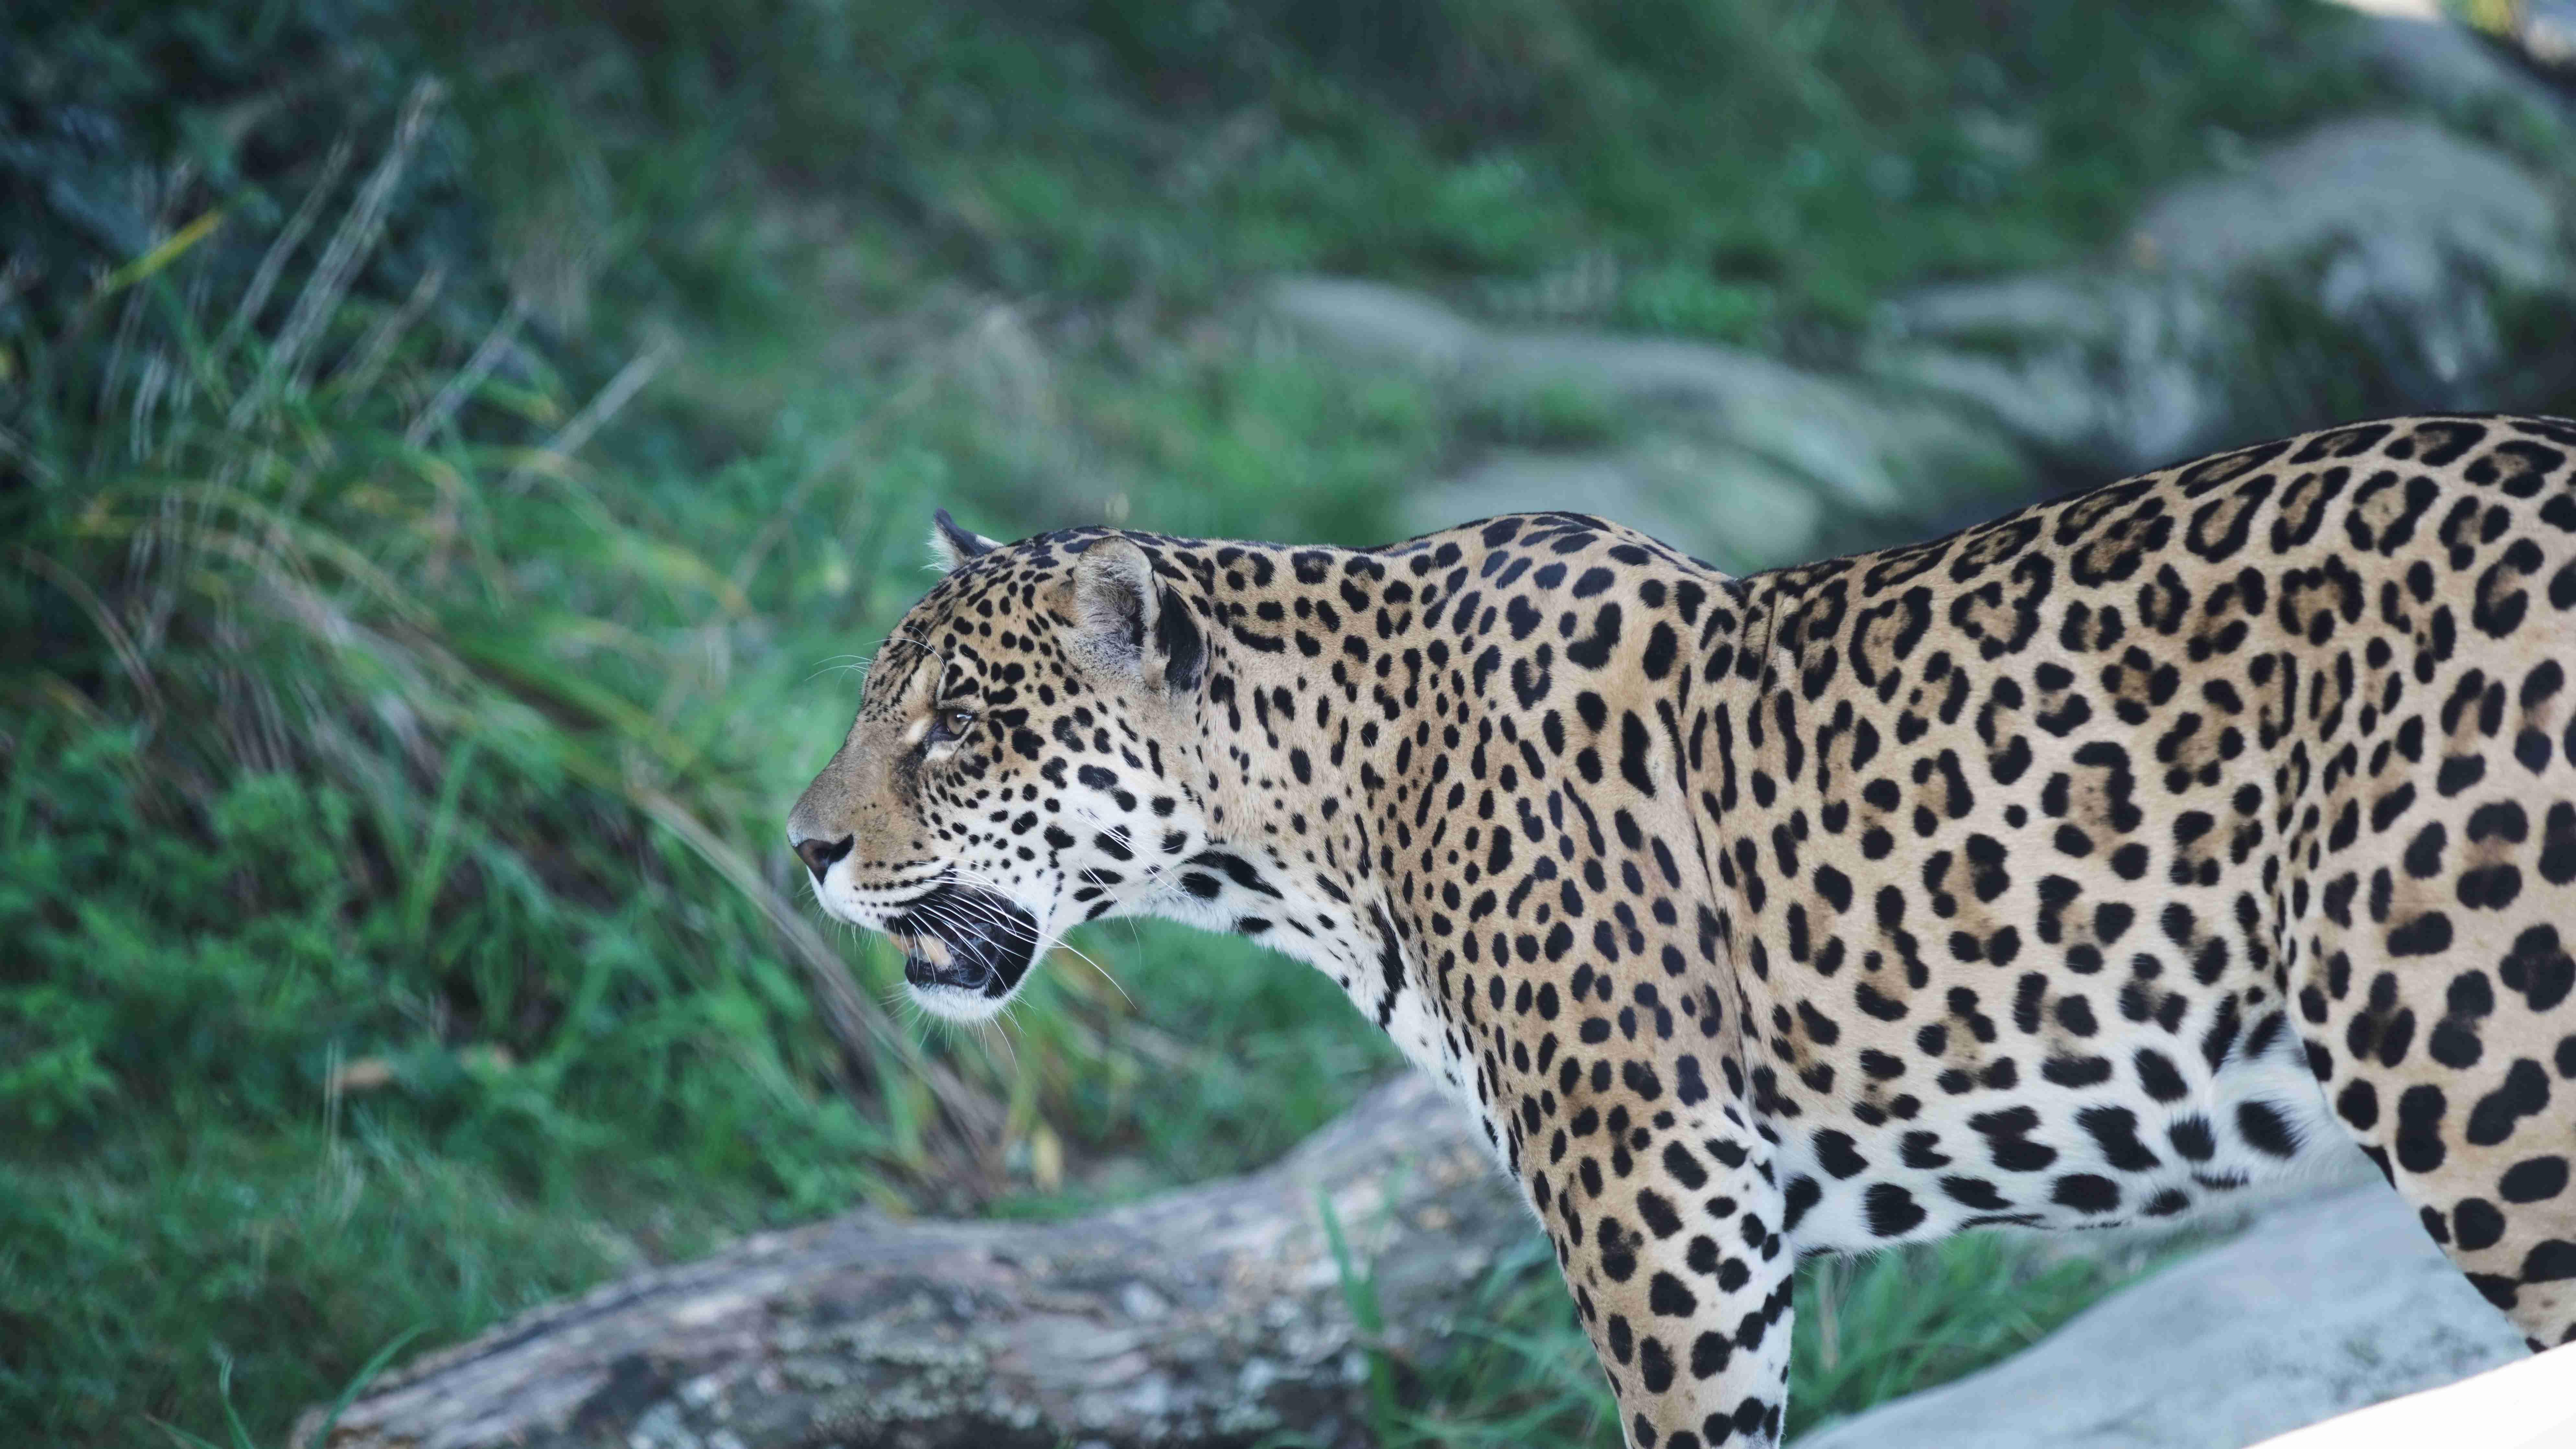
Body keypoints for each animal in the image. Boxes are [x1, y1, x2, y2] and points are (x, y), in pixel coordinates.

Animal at [788, 413, 2576, 1447]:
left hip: (2482, 1083)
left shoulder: (1660, 1205)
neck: (1328, 810)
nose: (802, 849)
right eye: (878, 705)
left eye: (955, 725)